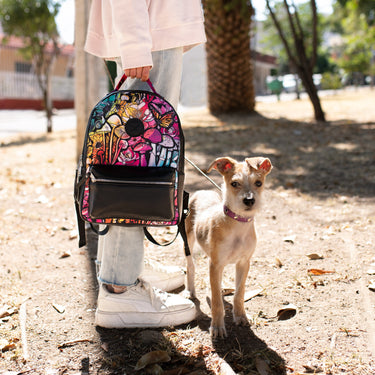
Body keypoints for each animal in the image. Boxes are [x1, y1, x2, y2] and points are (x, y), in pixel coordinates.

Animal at [186, 156, 272, 338]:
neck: (238, 225)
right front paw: (217, 327)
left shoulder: (244, 263)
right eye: (234, 183)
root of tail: (202, 191)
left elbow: (239, 293)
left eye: (258, 183)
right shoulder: (215, 264)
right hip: (188, 240)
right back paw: (190, 291)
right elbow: (217, 302)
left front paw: (240, 316)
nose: (249, 200)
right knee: (190, 266)